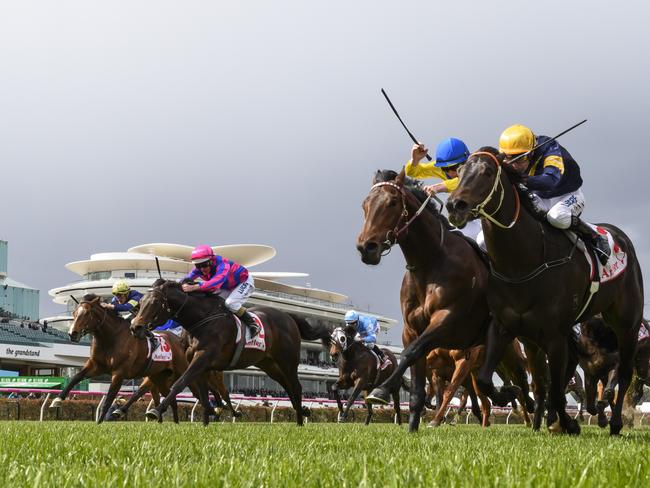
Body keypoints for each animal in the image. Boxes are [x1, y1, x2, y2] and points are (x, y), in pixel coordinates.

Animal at [49, 294, 230, 424]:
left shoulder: (119, 373)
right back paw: (174, 421)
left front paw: (99, 422)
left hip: (186, 374)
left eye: (86, 313)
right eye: (74, 314)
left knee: (201, 393)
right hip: (159, 377)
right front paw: (57, 400)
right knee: (172, 399)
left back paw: (216, 412)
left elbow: (109, 398)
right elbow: (76, 378)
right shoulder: (95, 365)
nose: (72, 334)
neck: (111, 338)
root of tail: (182, 343)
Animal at [128, 280, 330, 426]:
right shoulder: (199, 363)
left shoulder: (203, 358)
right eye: (140, 303)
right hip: (270, 365)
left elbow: (181, 383)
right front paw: (206, 423)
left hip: (288, 361)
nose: (135, 327)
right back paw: (301, 412)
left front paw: (156, 411)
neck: (202, 320)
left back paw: (300, 421)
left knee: (296, 387)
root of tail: (289, 317)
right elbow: (203, 394)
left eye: (155, 303)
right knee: (288, 387)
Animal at [354, 171, 532, 430]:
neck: (431, 263)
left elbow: (412, 354)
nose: (366, 247)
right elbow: (417, 379)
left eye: (392, 203)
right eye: (365, 205)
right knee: (492, 382)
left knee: (523, 377)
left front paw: (381, 390)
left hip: (508, 347)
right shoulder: (411, 330)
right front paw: (412, 426)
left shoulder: (448, 320)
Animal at [442, 148, 640, 434]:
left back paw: (614, 423)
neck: (523, 262)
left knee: (623, 374)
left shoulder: (556, 337)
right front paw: (510, 396)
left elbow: (556, 390)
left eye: (488, 172)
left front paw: (568, 423)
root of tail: (619, 236)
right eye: (459, 172)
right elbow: (488, 380)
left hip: (627, 324)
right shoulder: (504, 325)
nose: (455, 205)